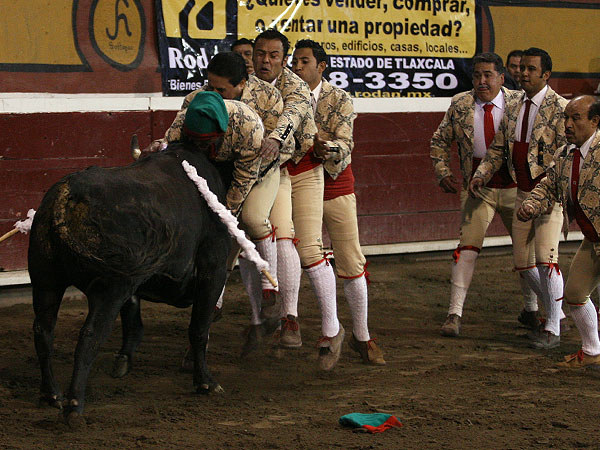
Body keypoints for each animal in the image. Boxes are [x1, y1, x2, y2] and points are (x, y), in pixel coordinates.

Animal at [29, 142, 232, 424]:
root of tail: (65, 194)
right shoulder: (213, 269)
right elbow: (199, 329)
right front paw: (206, 383)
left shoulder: (134, 279)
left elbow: (133, 317)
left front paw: (124, 360)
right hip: (109, 287)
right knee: (90, 336)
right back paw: (74, 405)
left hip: (46, 280)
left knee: (43, 331)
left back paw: (51, 395)